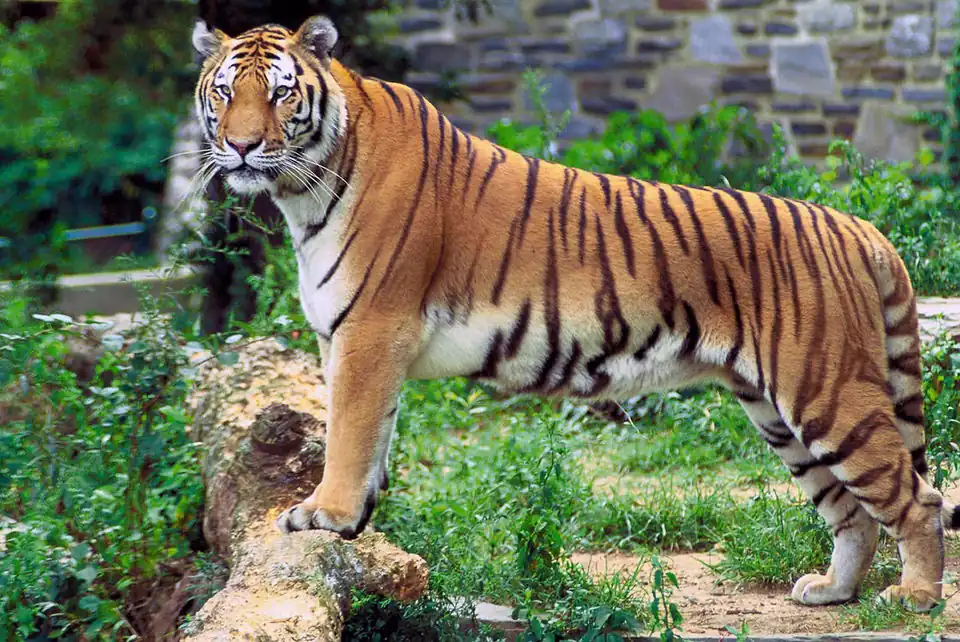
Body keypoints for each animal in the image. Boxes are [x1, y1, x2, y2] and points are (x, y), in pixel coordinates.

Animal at [192, 15, 959, 611]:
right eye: (224, 92)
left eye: (281, 92)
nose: (241, 145)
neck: (305, 191)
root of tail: (858, 227)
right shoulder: (352, 340)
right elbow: (372, 434)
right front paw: (356, 524)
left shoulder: (371, 330)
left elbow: (349, 433)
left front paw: (325, 514)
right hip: (778, 412)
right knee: (852, 511)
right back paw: (833, 591)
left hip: (827, 392)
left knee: (916, 498)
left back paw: (914, 597)